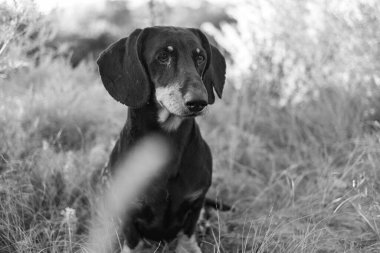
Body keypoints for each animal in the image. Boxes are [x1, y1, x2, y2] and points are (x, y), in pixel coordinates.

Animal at [95, 26, 226, 252]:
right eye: (163, 56)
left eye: (200, 57)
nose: (198, 102)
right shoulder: (128, 211)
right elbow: (132, 239)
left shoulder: (196, 202)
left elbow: (188, 234)